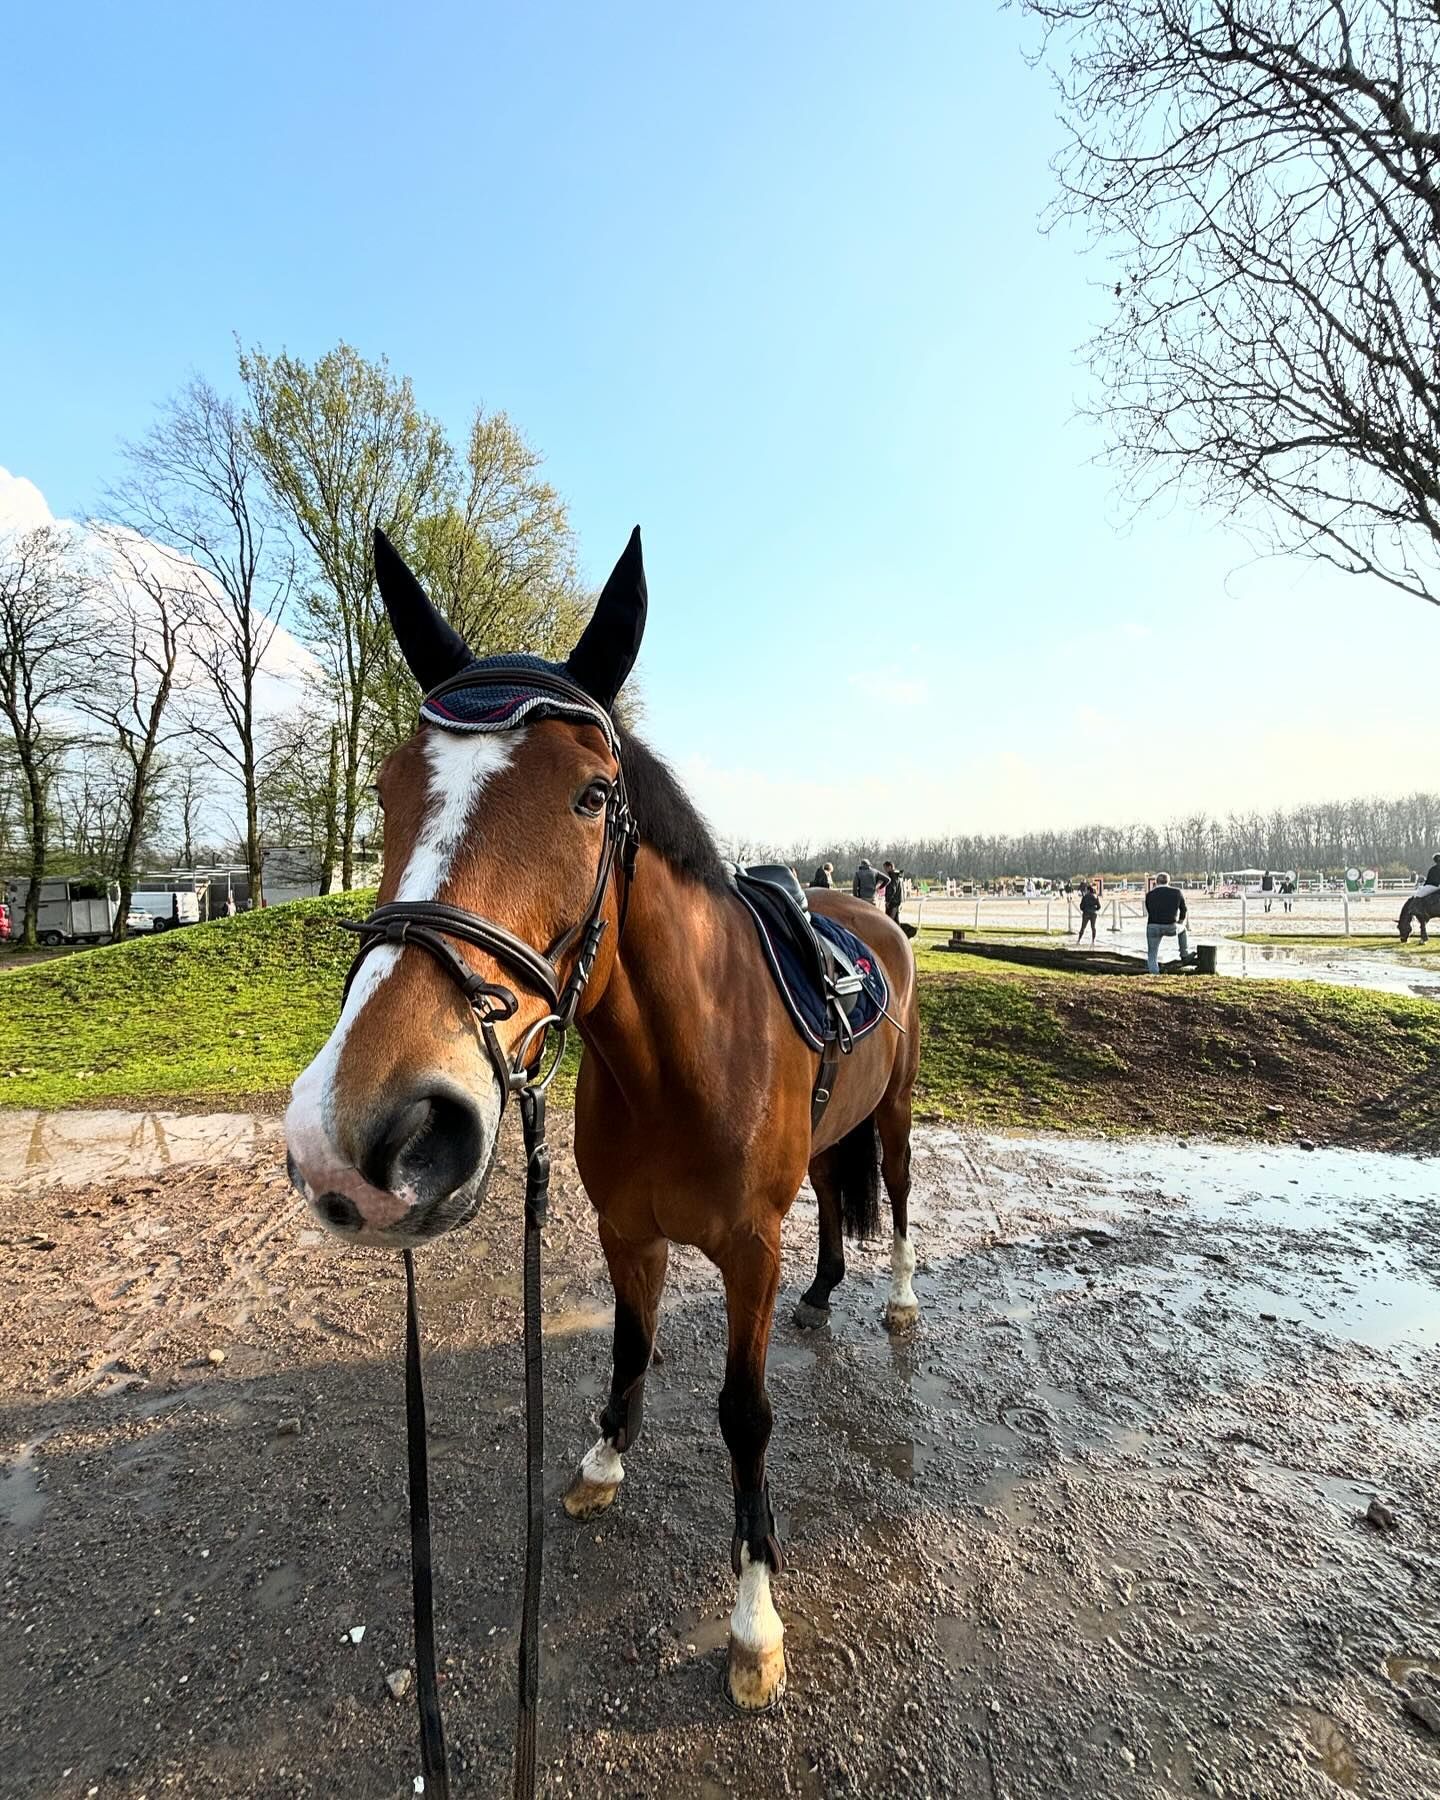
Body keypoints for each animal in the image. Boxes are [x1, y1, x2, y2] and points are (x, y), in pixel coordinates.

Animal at [284, 527, 921, 1714]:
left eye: (590, 795)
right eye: (389, 788)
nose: (368, 1133)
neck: (682, 1060)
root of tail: (869, 911)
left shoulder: (747, 1249)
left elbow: (744, 1414)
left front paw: (753, 1620)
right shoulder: (630, 1229)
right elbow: (630, 1343)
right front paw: (603, 1462)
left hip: (895, 1114)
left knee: (896, 1194)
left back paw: (897, 1299)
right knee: (832, 1197)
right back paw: (824, 1295)